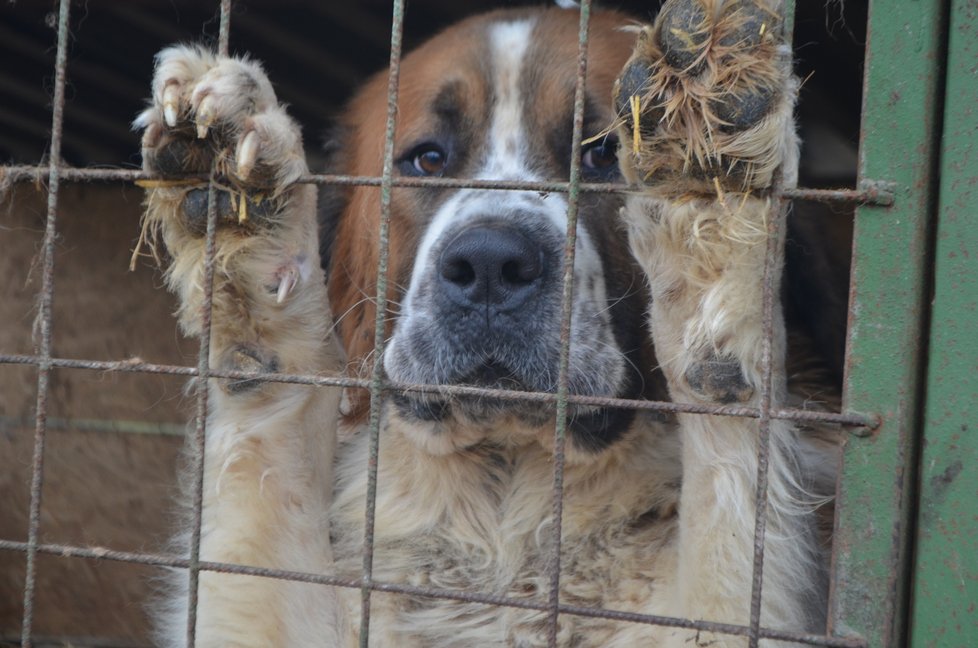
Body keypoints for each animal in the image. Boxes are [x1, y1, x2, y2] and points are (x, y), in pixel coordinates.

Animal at [133, 2, 844, 644]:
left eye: (602, 155)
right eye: (427, 159)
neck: (505, 513)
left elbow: (728, 478)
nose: (489, 264)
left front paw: (708, 200)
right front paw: (243, 219)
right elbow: (271, 436)